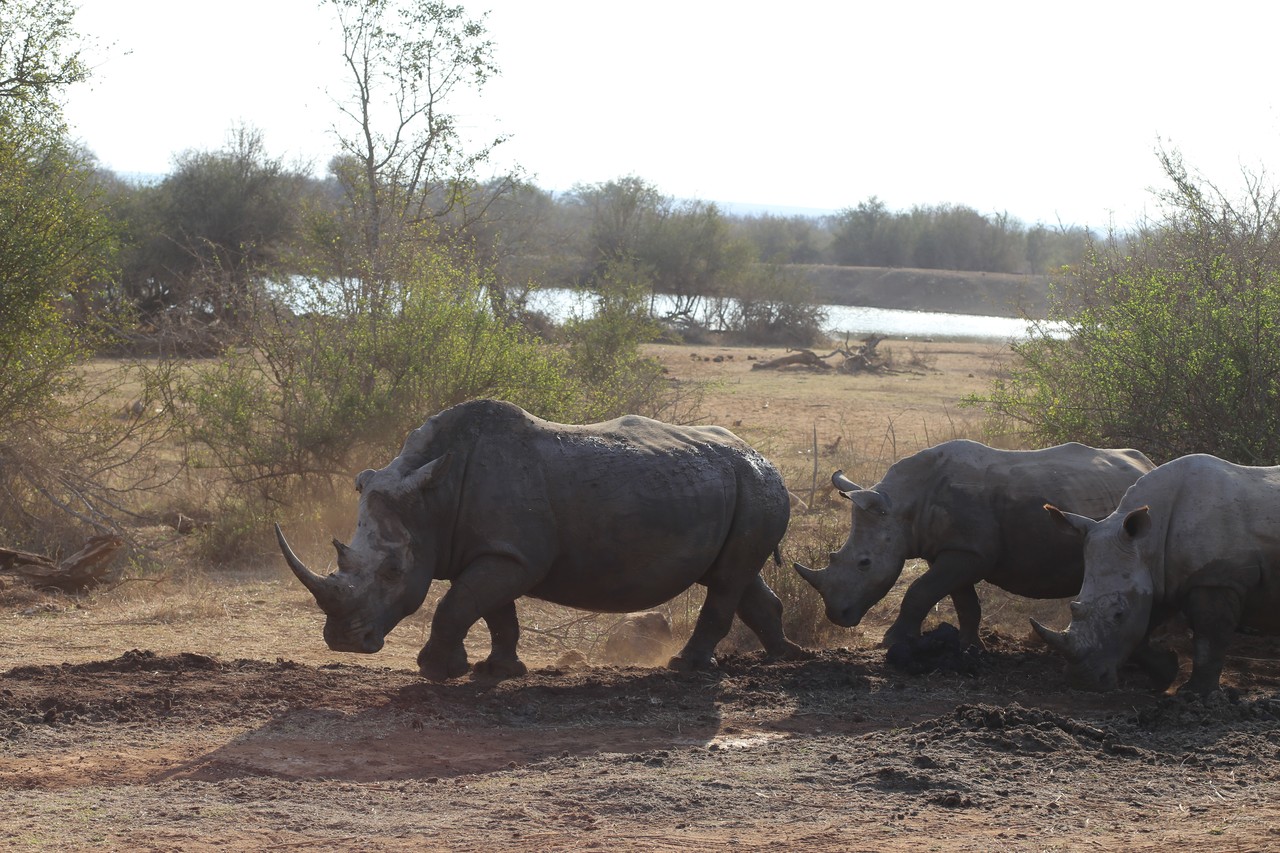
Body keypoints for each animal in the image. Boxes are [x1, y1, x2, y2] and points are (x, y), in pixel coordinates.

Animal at [276, 399, 806, 681]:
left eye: (392, 572)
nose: (344, 642)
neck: (432, 498)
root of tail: (763, 457)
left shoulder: (513, 556)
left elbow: (456, 604)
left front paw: (438, 672)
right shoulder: (499, 551)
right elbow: (493, 612)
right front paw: (499, 671)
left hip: (757, 485)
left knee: (729, 579)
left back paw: (685, 667)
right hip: (742, 487)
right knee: (738, 576)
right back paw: (786, 657)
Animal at [794, 440, 1155, 650]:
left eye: (864, 563)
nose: (837, 615)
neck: (901, 503)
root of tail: (1148, 463)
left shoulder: (970, 552)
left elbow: (919, 592)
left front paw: (892, 641)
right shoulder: (954, 550)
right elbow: (964, 603)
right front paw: (968, 647)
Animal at [1034, 453, 1280, 694]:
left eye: (1118, 614)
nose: (1081, 681)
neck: (1149, 542)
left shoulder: (1217, 578)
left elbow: (1209, 637)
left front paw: (1194, 695)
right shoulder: (1161, 578)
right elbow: (1140, 633)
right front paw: (1167, 673)